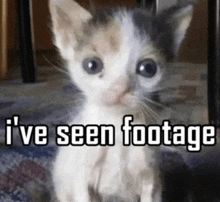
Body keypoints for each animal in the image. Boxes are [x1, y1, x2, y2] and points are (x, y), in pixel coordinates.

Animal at [47, 0, 192, 201]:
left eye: (148, 68)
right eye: (92, 65)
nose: (120, 88)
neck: (117, 128)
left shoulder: (152, 179)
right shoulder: (82, 180)